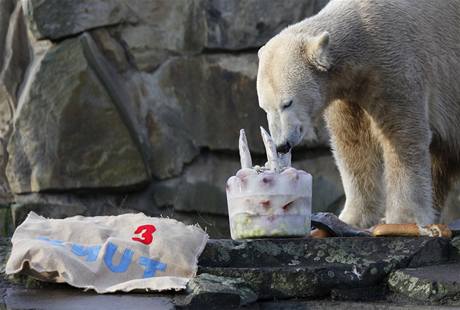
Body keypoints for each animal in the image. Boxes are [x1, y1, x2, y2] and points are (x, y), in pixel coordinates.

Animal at [256, 0, 460, 228]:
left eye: (287, 103)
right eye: (264, 107)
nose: (282, 145)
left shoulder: (394, 63)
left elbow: (402, 135)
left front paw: (403, 218)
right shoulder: (346, 91)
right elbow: (354, 143)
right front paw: (351, 218)